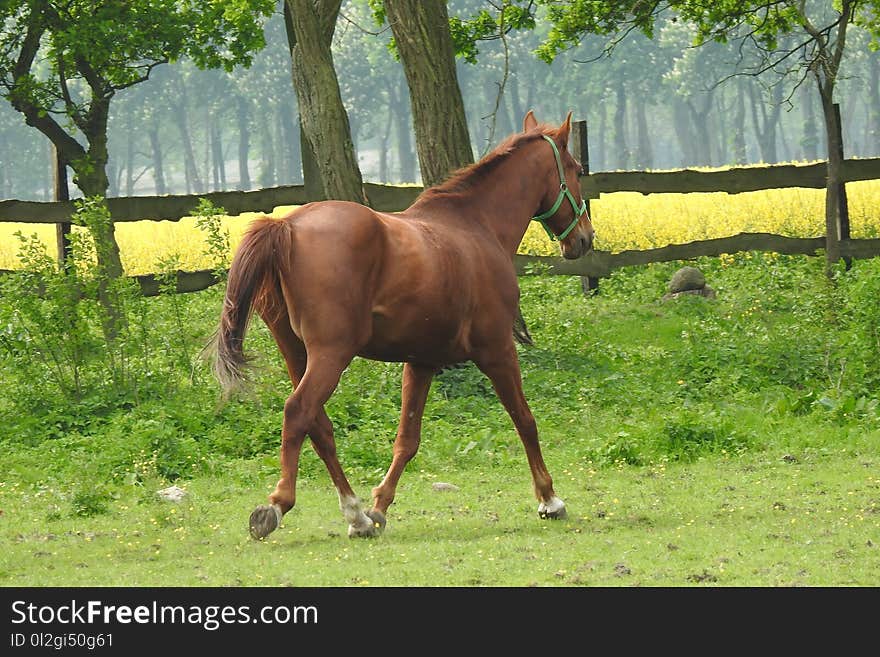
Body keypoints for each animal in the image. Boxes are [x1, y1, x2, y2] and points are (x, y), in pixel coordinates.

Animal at [211, 109, 592, 540]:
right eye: (577, 169)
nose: (585, 238)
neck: (477, 226)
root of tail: (287, 226)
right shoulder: (497, 350)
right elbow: (525, 420)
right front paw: (549, 499)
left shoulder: (422, 361)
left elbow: (407, 439)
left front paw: (379, 507)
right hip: (331, 353)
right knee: (298, 412)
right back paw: (276, 506)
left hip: (296, 352)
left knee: (318, 425)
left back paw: (356, 515)